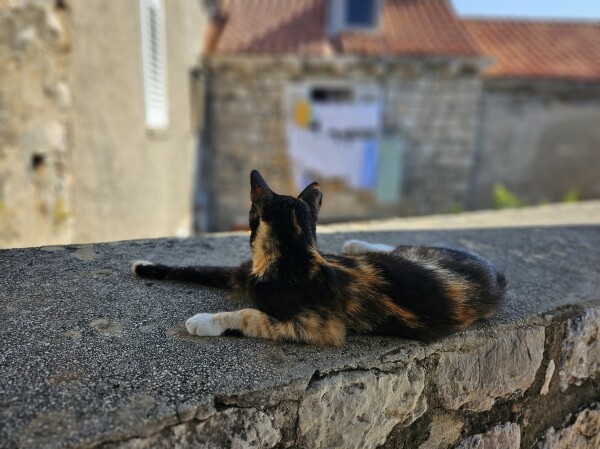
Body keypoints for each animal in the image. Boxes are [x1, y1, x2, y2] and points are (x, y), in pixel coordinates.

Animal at [132, 170, 506, 344]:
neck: (295, 256)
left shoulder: (320, 329)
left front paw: (205, 321)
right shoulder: (241, 273)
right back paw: (354, 244)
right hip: (409, 256)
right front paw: (145, 265)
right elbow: (196, 268)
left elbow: (249, 315)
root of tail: (497, 275)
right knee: (392, 249)